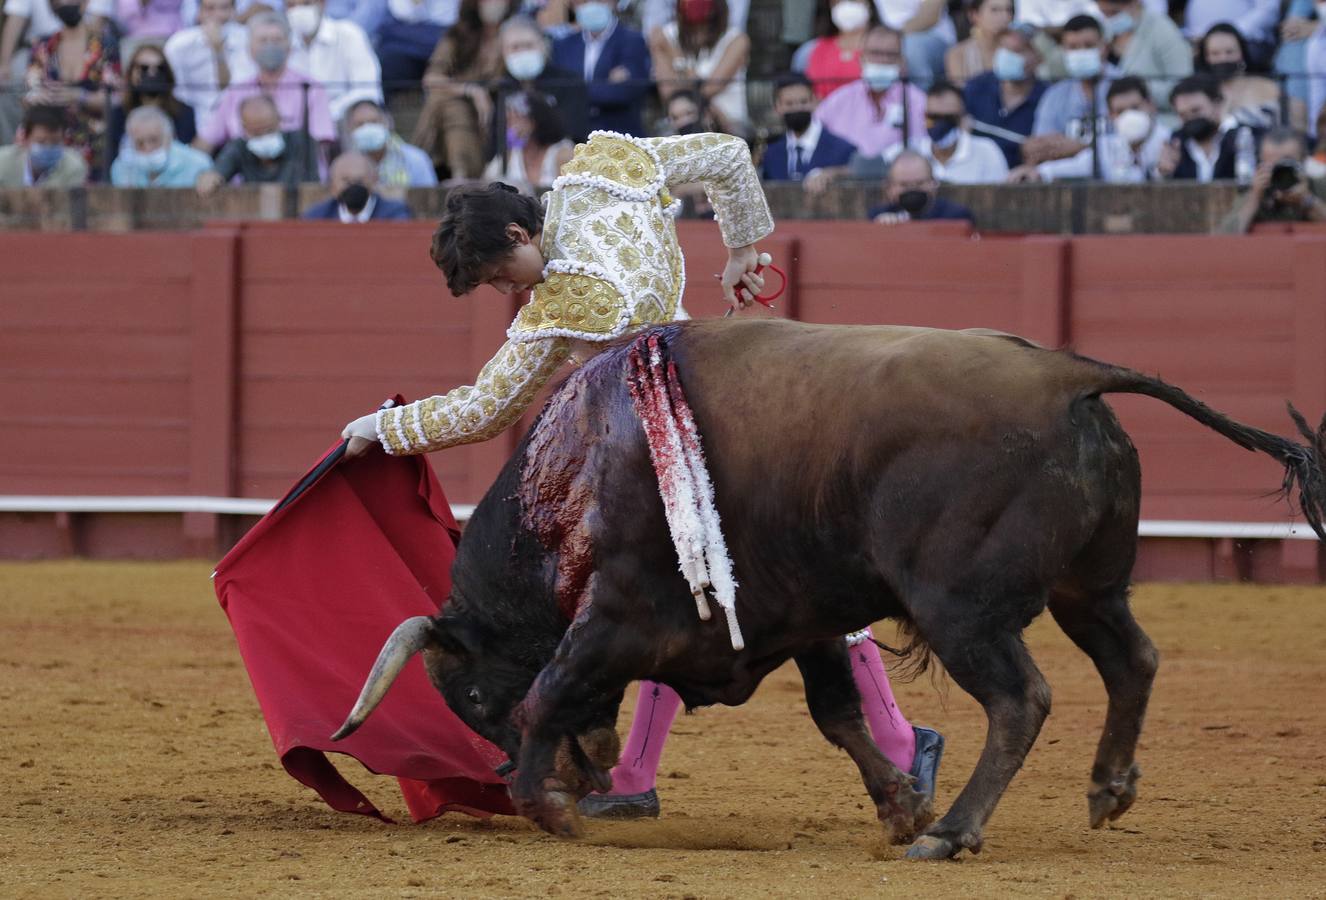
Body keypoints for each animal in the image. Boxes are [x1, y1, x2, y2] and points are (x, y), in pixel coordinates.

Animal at [331, 320, 1326, 864]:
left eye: (467, 696)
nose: (524, 780)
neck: (575, 467)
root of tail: (1068, 376)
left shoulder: (615, 616)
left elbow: (545, 693)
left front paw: (551, 811)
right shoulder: (800, 616)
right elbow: (838, 714)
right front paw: (895, 804)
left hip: (958, 607)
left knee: (1023, 698)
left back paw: (953, 832)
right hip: (1092, 586)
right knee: (1133, 658)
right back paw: (1105, 788)